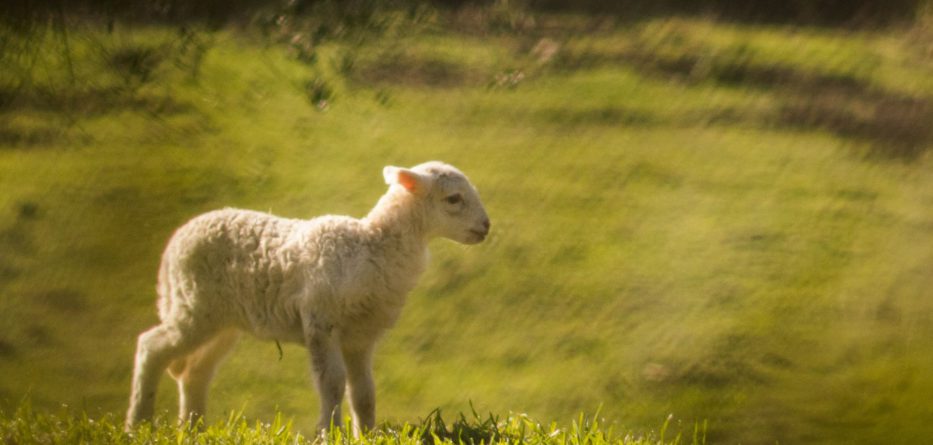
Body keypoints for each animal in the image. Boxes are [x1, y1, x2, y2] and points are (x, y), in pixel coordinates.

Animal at [124, 161, 492, 432]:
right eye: (454, 199)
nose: (486, 227)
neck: (373, 245)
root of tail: (176, 241)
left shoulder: (361, 336)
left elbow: (364, 393)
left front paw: (366, 434)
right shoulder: (320, 321)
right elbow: (332, 383)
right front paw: (329, 433)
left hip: (222, 321)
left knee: (195, 372)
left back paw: (193, 429)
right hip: (194, 305)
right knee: (151, 346)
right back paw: (138, 423)